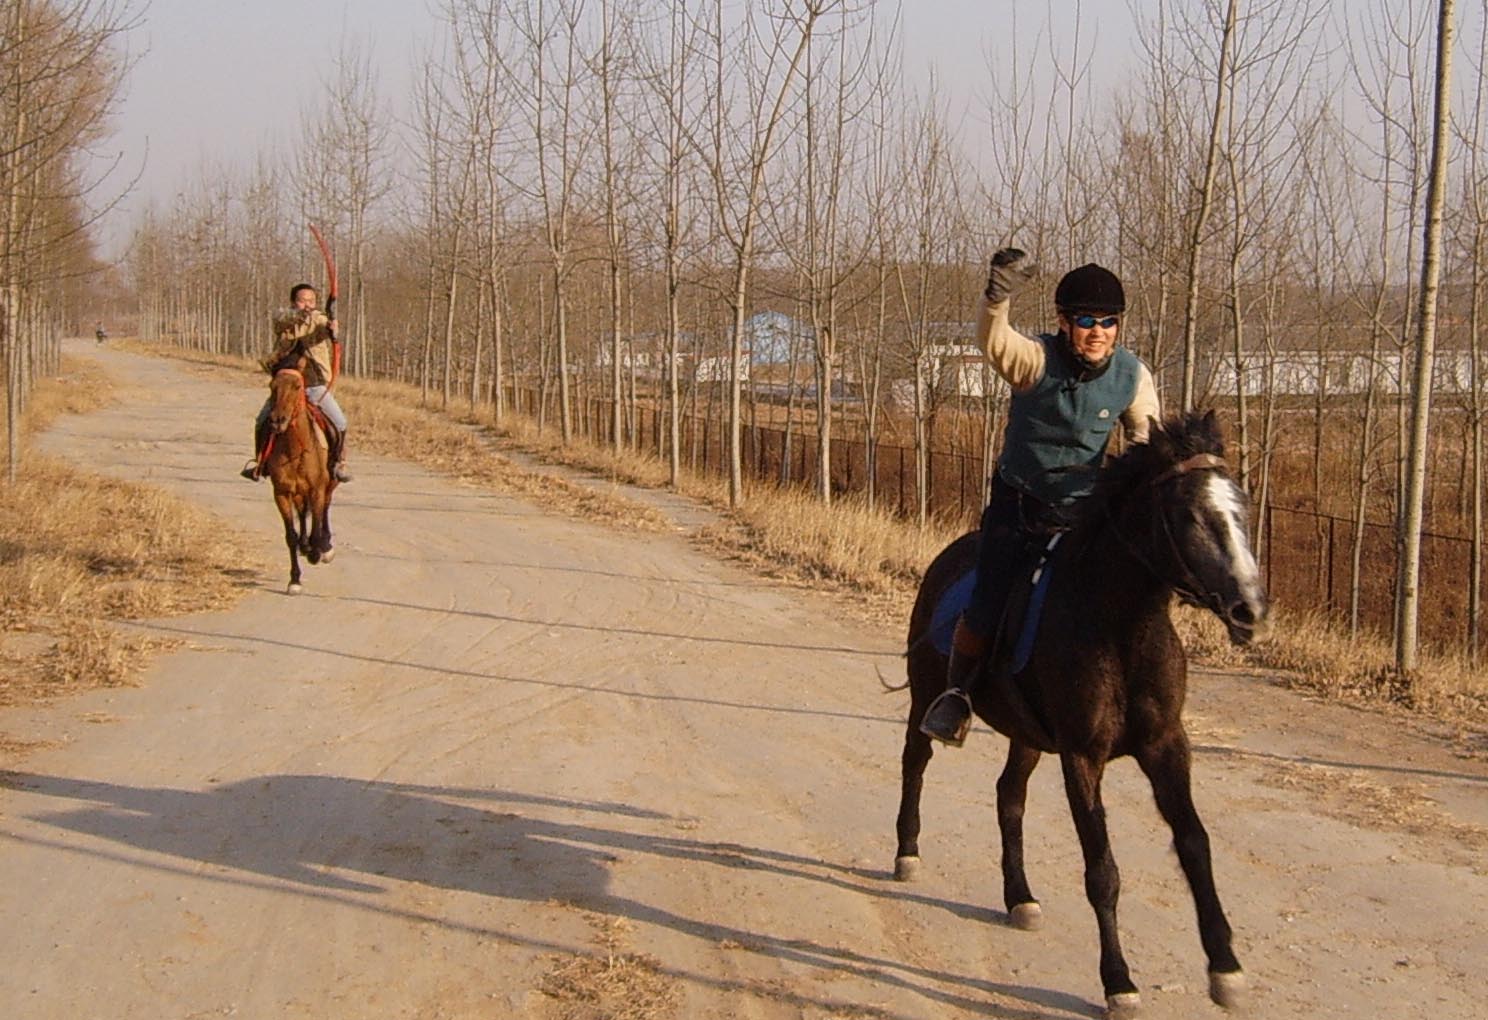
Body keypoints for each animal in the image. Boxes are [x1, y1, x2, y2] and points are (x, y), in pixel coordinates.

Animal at [266, 354, 340, 592]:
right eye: (272, 386)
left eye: (297, 386)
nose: (277, 420)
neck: (295, 450)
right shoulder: (281, 493)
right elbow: (291, 535)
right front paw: (295, 579)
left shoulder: (317, 489)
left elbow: (317, 523)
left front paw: (317, 551)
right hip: (299, 492)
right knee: (302, 513)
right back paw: (304, 545)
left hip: (330, 483)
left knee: (325, 508)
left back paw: (324, 547)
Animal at [886, 410, 1273, 1012]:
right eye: (1188, 513)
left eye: (1242, 506)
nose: (1248, 610)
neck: (1122, 626)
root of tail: (946, 560)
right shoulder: (1082, 756)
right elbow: (1102, 870)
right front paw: (1119, 981)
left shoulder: (1166, 746)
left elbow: (1194, 845)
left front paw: (1225, 967)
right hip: (926, 697)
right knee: (915, 764)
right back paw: (907, 852)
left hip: (1025, 735)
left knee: (1009, 796)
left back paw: (1019, 897)